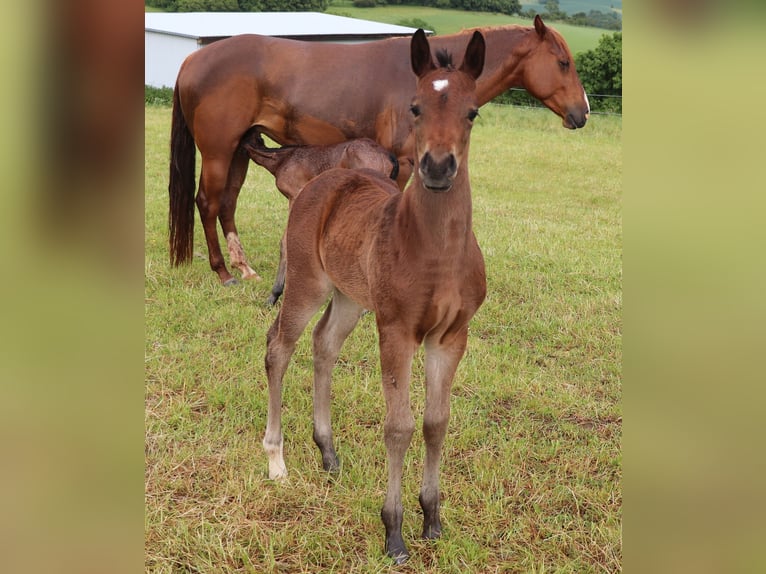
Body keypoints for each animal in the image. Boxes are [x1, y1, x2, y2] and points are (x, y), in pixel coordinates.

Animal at [168, 16, 589, 286]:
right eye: (563, 62)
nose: (582, 112)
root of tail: (192, 58)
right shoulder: (404, 163)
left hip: (240, 149)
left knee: (226, 204)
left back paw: (245, 268)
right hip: (219, 152)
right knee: (207, 202)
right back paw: (223, 273)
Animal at [263, 28, 487, 563]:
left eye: (472, 112)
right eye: (415, 107)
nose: (438, 168)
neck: (437, 253)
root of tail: (323, 180)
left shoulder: (450, 337)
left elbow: (436, 422)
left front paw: (432, 519)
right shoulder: (398, 331)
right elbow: (399, 427)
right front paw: (394, 532)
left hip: (351, 298)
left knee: (324, 344)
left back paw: (327, 452)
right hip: (308, 284)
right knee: (279, 347)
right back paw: (277, 461)